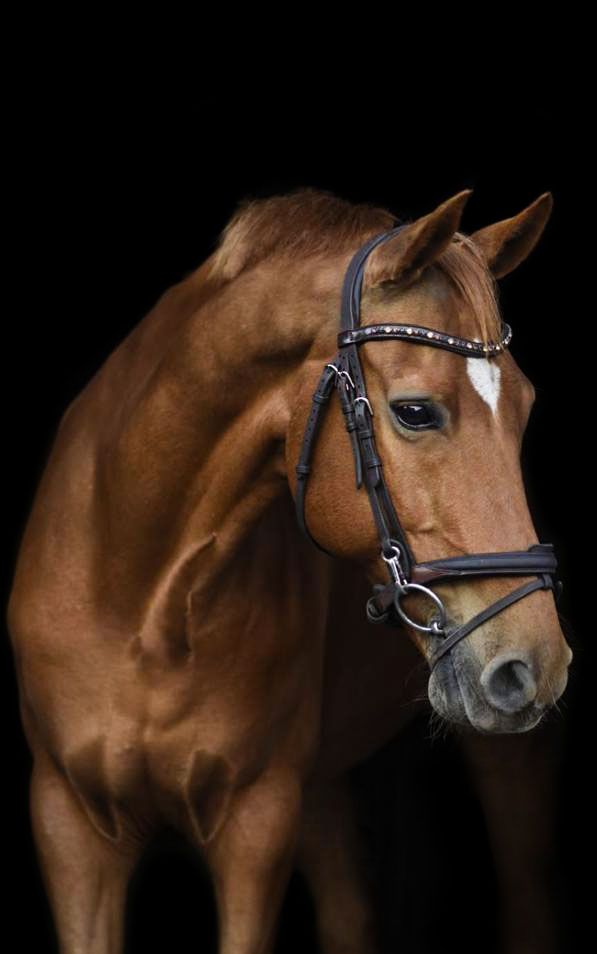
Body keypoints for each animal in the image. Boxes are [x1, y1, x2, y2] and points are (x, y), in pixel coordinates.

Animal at [6, 186, 573, 954]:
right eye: (415, 412)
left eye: (525, 408)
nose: (534, 665)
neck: (140, 599)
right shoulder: (70, 828)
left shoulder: (256, 823)